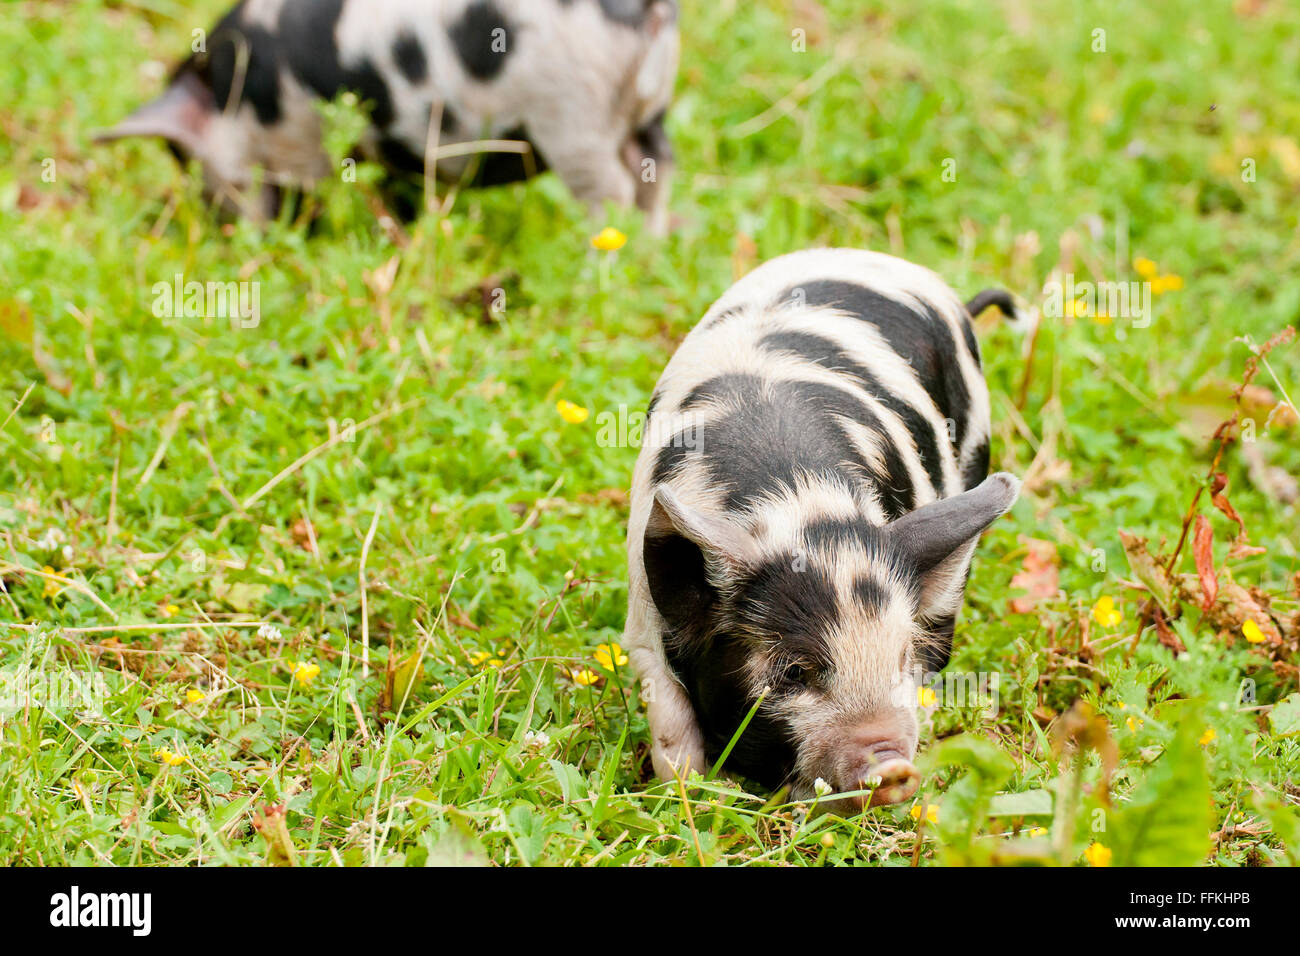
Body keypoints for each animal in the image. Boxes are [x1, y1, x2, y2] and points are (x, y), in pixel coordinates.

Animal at [94, 0, 679, 233]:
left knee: (613, 190)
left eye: (188, 163)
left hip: (573, 118)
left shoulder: (298, 138)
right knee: (656, 171)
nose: (227, 231)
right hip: (644, 111)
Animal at [623, 249, 1023, 812]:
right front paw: (694, 800)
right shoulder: (642, 626)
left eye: (900, 658)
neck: (802, 504)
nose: (893, 766)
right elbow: (671, 727)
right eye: (793, 672)